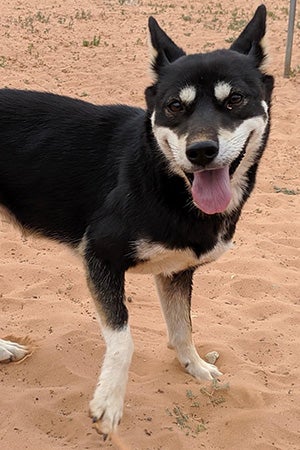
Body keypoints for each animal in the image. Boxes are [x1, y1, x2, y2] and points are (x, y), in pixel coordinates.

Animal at [0, 4, 272, 440]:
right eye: (174, 106)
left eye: (235, 100)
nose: (200, 151)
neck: (164, 177)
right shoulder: (100, 256)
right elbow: (124, 341)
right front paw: (109, 403)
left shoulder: (177, 271)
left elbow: (182, 328)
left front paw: (196, 367)